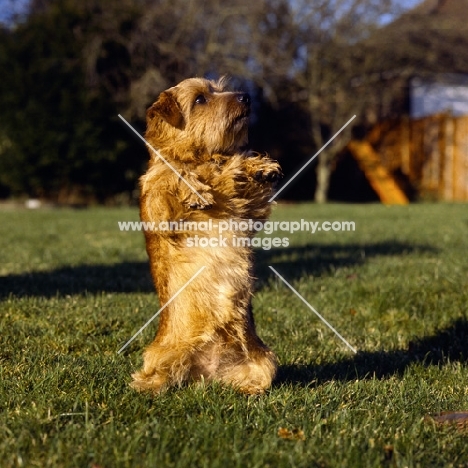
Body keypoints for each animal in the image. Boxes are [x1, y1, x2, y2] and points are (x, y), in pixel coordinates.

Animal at [131, 77, 282, 394]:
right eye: (200, 99)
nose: (246, 96)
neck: (203, 156)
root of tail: (205, 374)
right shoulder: (157, 206)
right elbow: (172, 173)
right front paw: (195, 187)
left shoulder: (249, 211)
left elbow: (239, 172)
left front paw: (259, 167)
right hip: (158, 354)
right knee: (155, 376)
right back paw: (150, 386)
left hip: (264, 358)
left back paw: (250, 389)